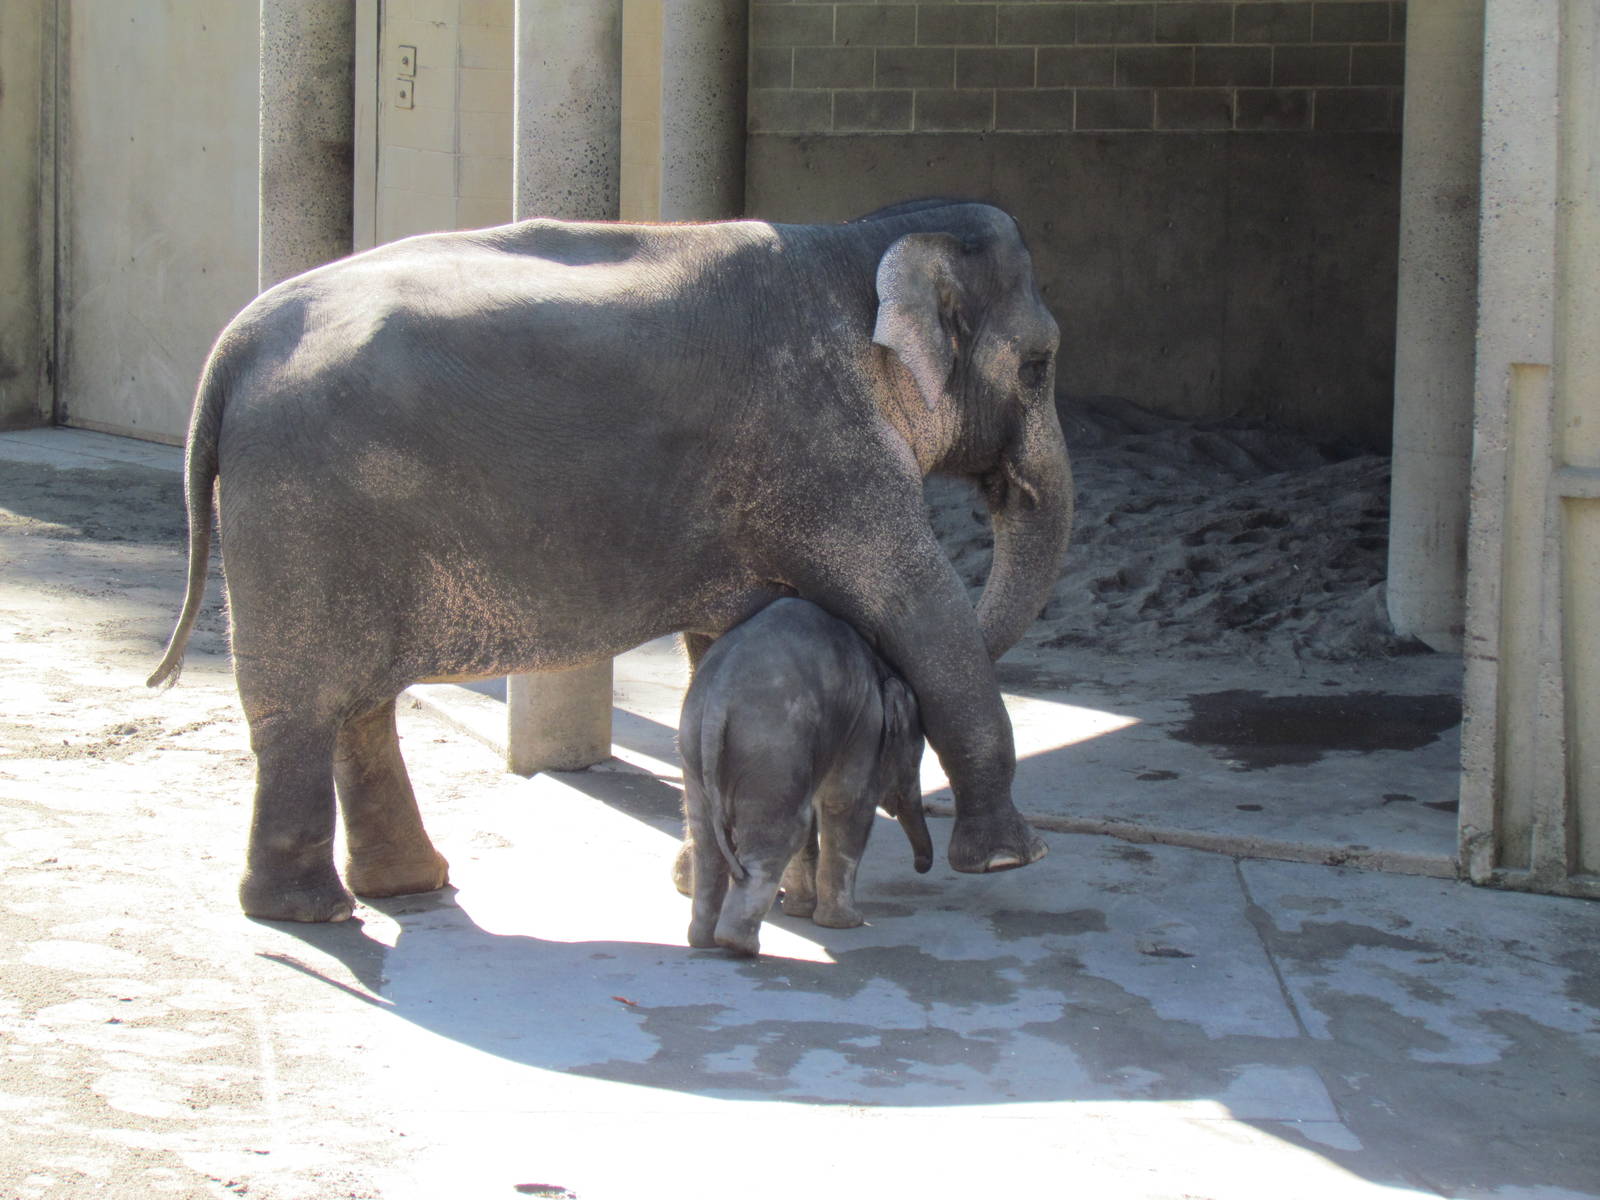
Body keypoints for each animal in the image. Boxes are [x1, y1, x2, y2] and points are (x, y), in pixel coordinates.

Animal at [680, 598, 933, 957]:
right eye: (916, 759)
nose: (921, 866)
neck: (882, 670)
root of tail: (718, 699)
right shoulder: (865, 727)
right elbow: (846, 804)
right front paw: (846, 924)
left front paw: (801, 912)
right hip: (772, 748)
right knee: (783, 832)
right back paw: (740, 946)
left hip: (696, 748)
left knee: (708, 842)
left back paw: (703, 942)